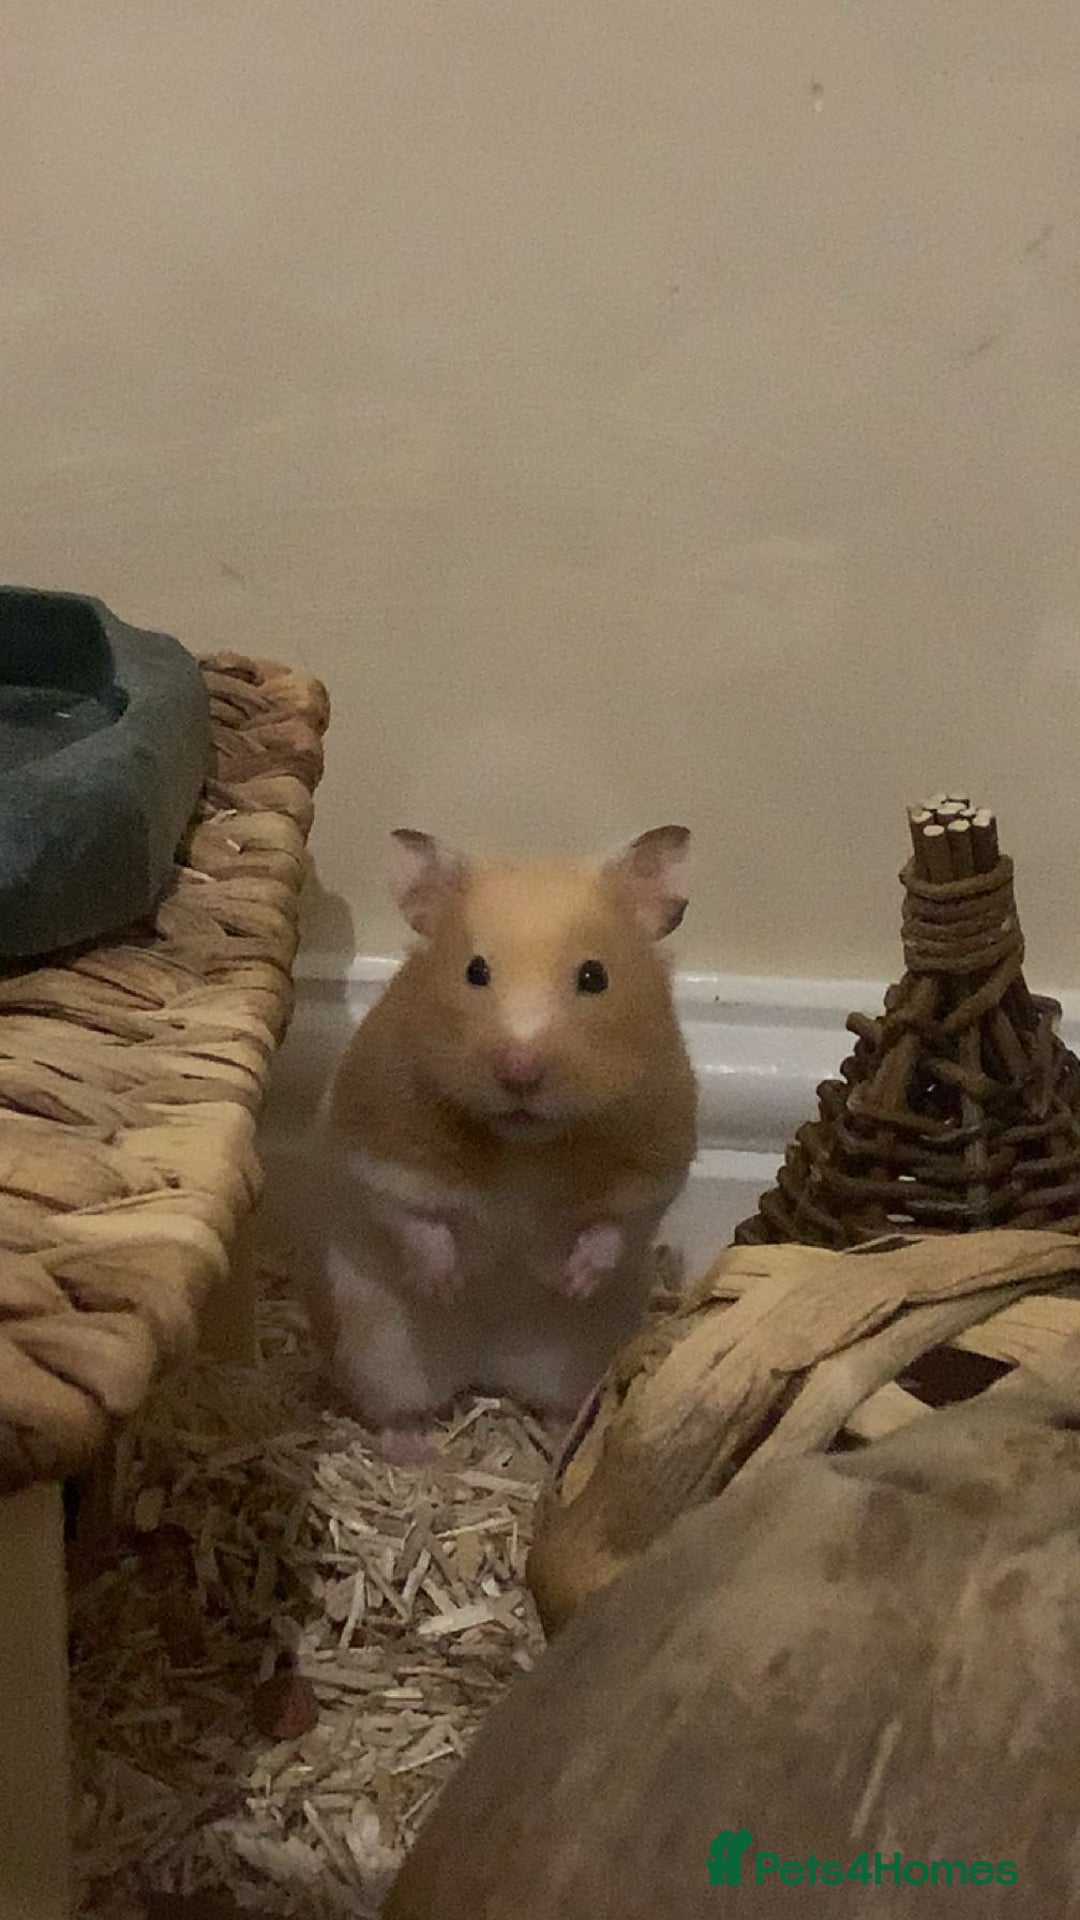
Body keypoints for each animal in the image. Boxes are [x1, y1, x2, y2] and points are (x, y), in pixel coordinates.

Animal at [305, 825, 698, 1436]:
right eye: (475, 971)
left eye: (595, 976)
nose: (519, 1071)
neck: (524, 1146)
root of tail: (485, 1367)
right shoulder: (377, 1147)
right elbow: (410, 1217)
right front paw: (447, 1284)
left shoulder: (655, 1165)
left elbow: (615, 1227)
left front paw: (575, 1282)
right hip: (378, 1343)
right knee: (395, 1411)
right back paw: (417, 1446)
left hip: (581, 1356)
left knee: (559, 1401)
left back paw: (557, 1434)